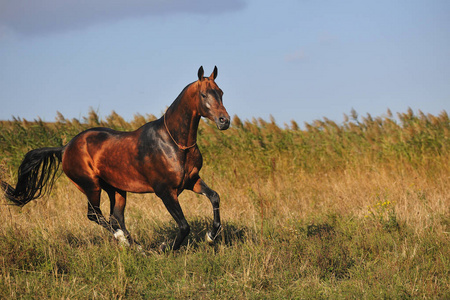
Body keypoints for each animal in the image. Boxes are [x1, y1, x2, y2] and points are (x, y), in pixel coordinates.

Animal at [1, 66, 230, 251]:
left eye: (220, 92)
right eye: (203, 94)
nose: (224, 121)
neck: (174, 144)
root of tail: (65, 148)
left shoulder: (191, 181)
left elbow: (215, 197)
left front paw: (210, 236)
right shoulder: (165, 191)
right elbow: (183, 226)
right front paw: (165, 247)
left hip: (116, 189)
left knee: (115, 217)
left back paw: (136, 246)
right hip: (91, 186)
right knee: (96, 215)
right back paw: (124, 240)